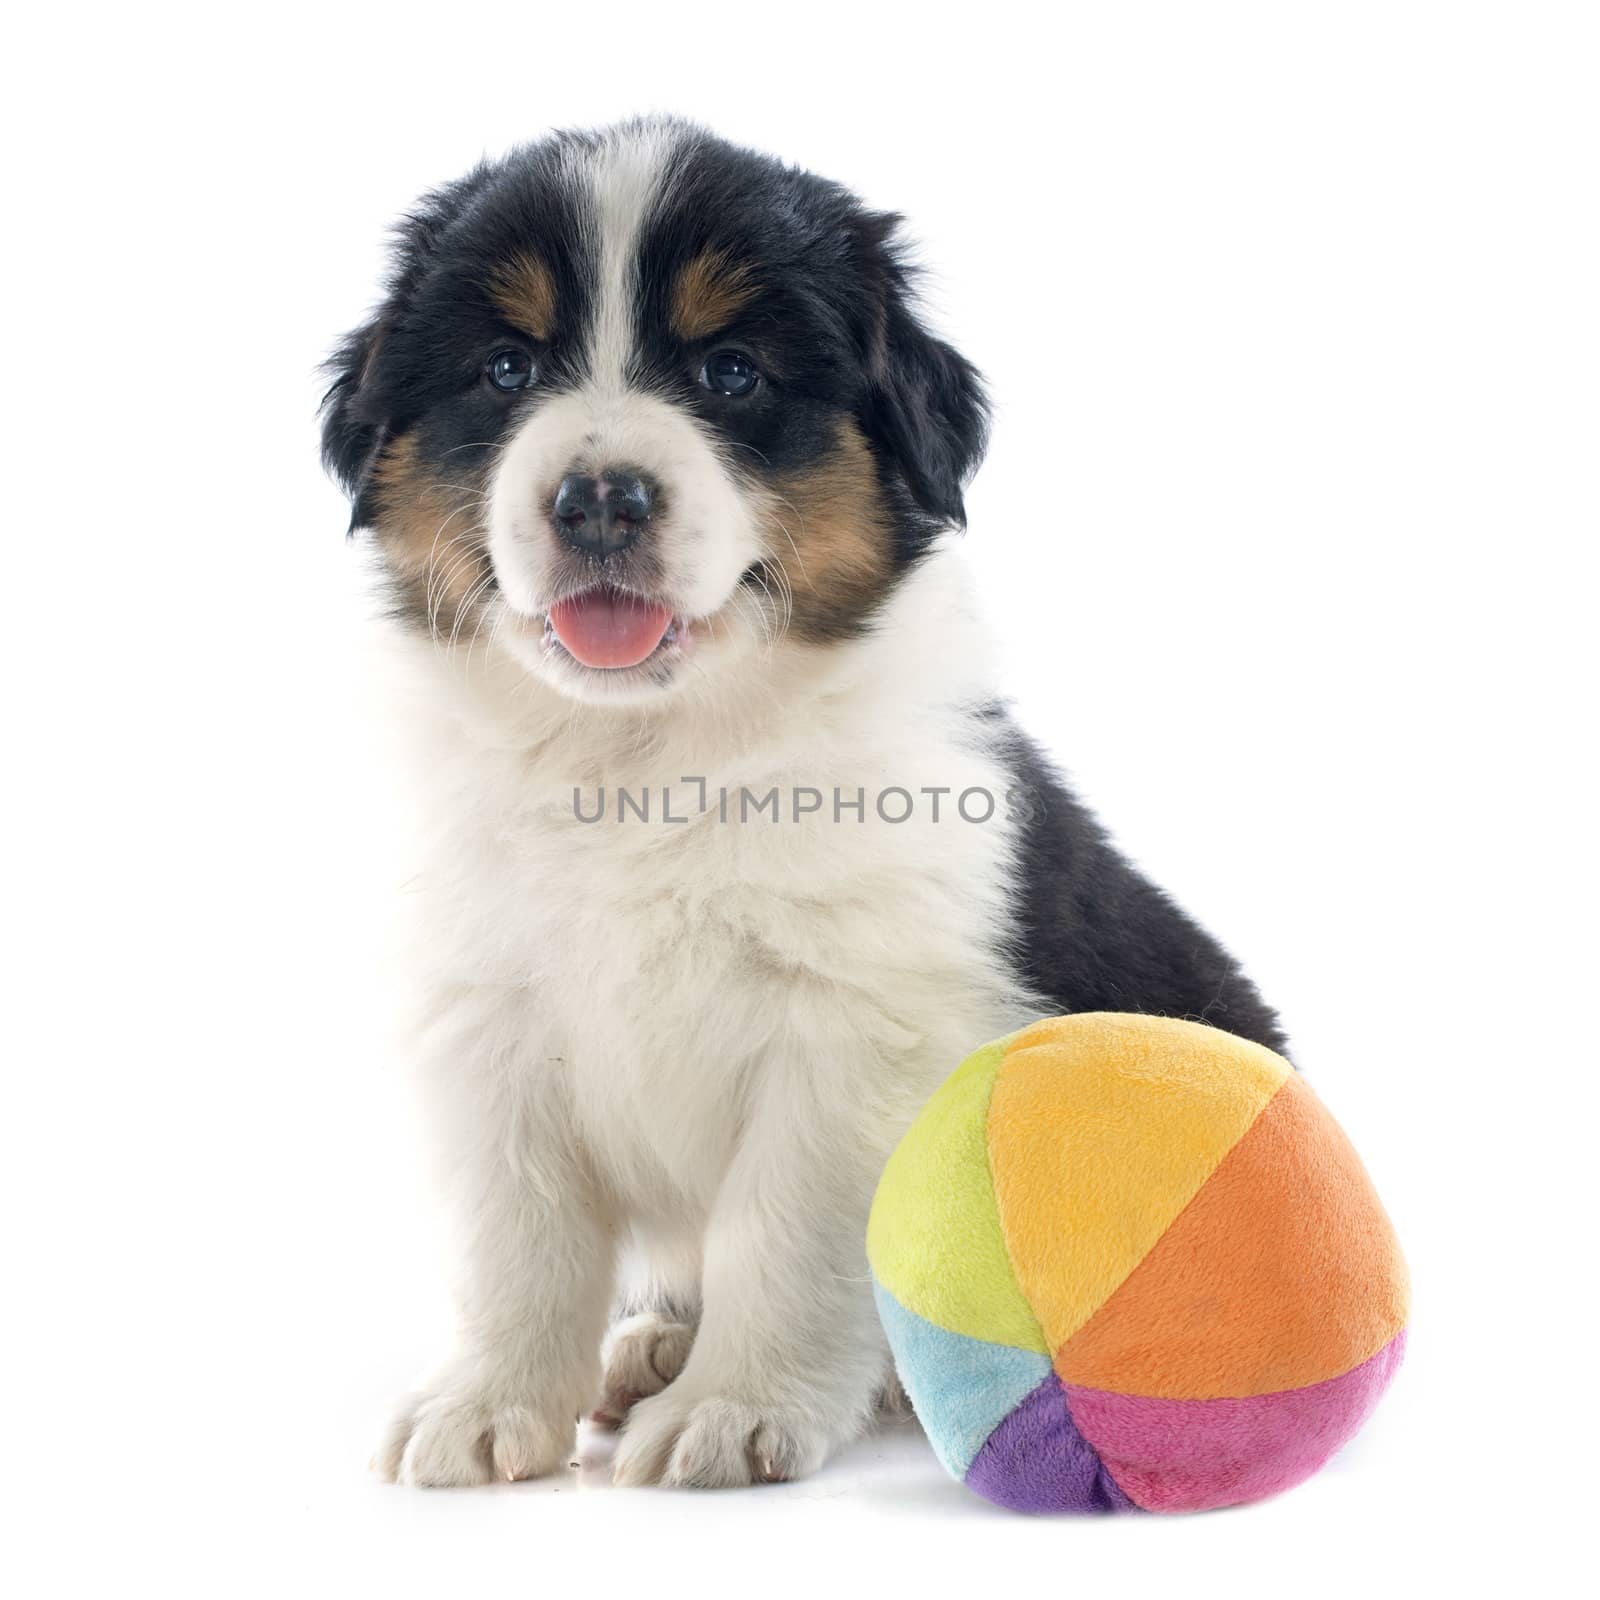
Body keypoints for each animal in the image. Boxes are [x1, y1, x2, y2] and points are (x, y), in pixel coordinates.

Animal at [318, 118, 1280, 1491]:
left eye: (732, 373)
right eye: (504, 368)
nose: (598, 497)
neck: (643, 761)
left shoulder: (849, 1036)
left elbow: (780, 1232)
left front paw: (735, 1409)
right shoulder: (488, 1017)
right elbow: (519, 1236)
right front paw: (490, 1401)